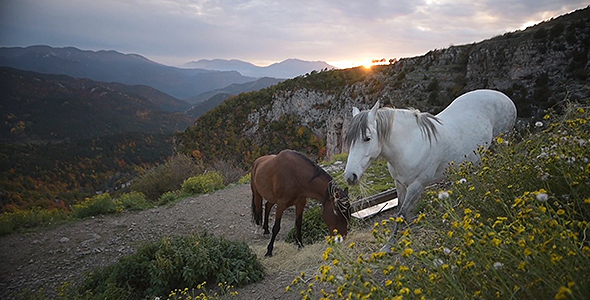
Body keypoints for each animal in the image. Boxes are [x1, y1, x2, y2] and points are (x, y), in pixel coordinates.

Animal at [344, 88, 516, 251]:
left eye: (367, 138)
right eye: (349, 140)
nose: (350, 176)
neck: (409, 144)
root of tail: (503, 96)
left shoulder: (417, 186)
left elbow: (401, 213)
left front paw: (390, 245)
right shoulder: (399, 184)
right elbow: (400, 210)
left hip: (501, 142)